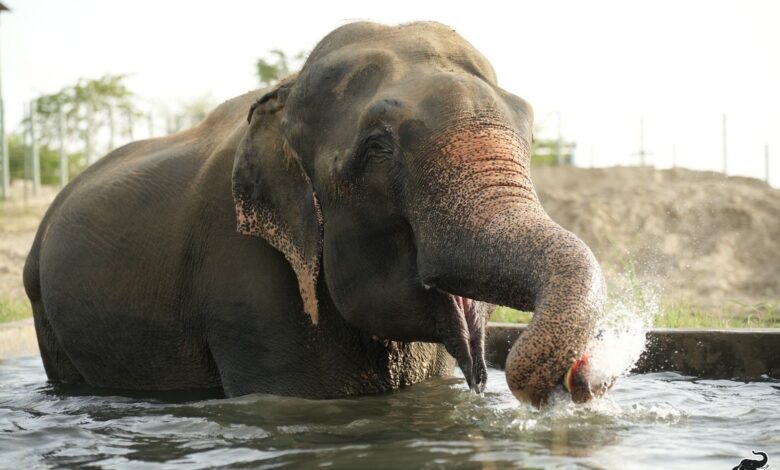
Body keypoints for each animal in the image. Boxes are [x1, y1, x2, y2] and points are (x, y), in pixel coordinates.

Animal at [22, 20, 608, 406]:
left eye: (528, 123)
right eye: (377, 147)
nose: (580, 377)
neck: (285, 92)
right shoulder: (246, 287)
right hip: (41, 305)